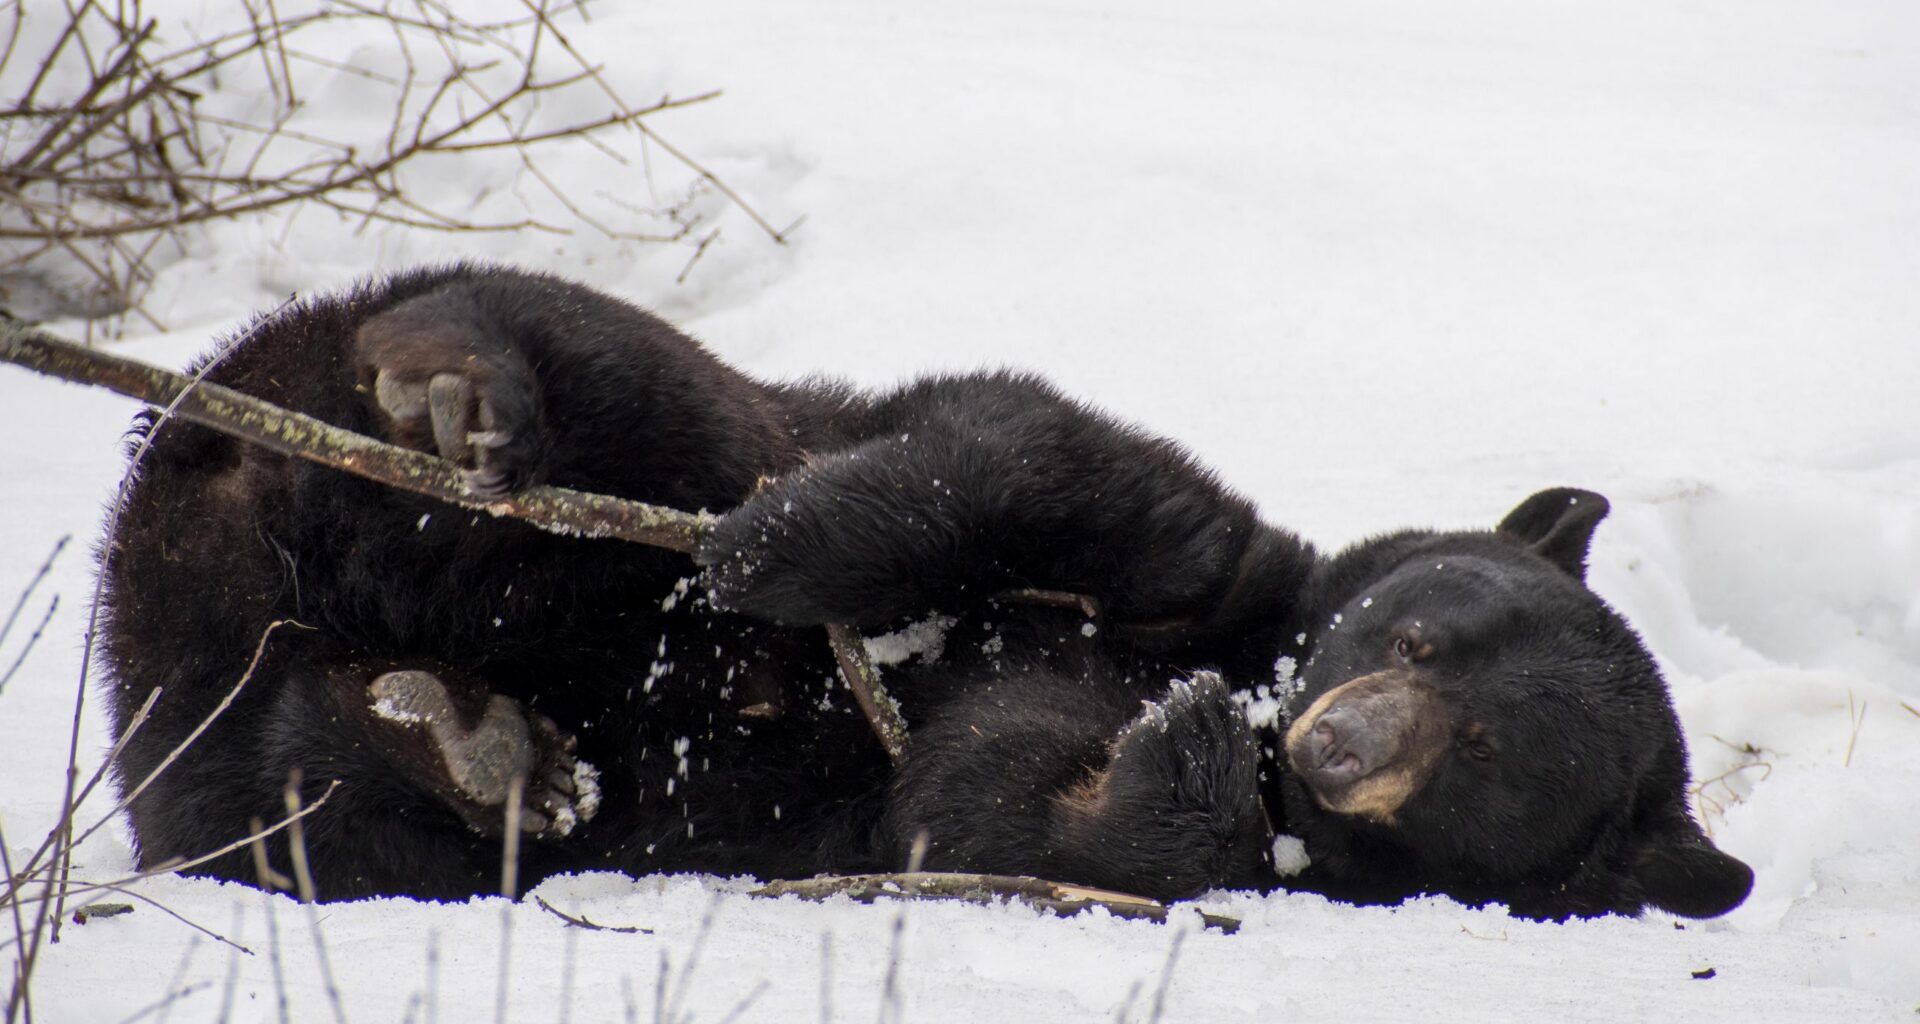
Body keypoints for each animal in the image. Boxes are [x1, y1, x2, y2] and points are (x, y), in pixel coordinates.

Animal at [97, 263, 1752, 919]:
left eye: (1484, 751)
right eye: (1418, 628)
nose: (1336, 738)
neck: (1255, 657)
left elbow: (984, 805)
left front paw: (1179, 758)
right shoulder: (1202, 564)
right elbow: (1049, 462)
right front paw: (784, 551)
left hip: (235, 702)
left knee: (290, 801)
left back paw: (466, 740)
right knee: (623, 374)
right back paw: (453, 387)